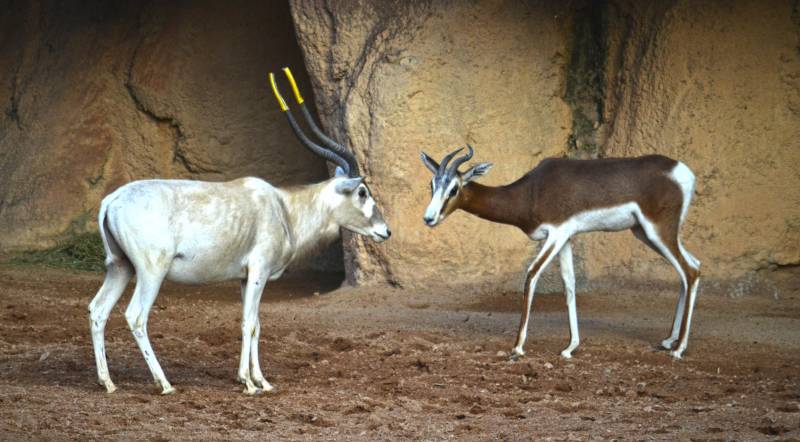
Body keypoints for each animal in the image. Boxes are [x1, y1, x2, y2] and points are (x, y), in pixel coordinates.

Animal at [89, 67, 390, 396]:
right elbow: (248, 323)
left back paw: (108, 382)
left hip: (120, 267)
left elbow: (255, 323)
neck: (284, 208)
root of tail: (112, 199)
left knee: (98, 310)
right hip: (151, 270)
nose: (385, 231)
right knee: (136, 316)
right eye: (362, 192)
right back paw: (164, 384)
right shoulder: (259, 271)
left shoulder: (246, 278)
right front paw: (248, 382)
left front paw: (261, 380)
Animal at [422, 145, 704, 360]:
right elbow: (569, 283)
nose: (429, 218)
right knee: (692, 266)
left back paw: (679, 349)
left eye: (454, 188)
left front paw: (517, 347)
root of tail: (684, 172)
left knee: (690, 271)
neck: (530, 192)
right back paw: (669, 340)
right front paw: (570, 347)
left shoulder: (557, 233)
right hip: (644, 233)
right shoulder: (566, 237)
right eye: (432, 184)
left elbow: (532, 275)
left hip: (658, 230)